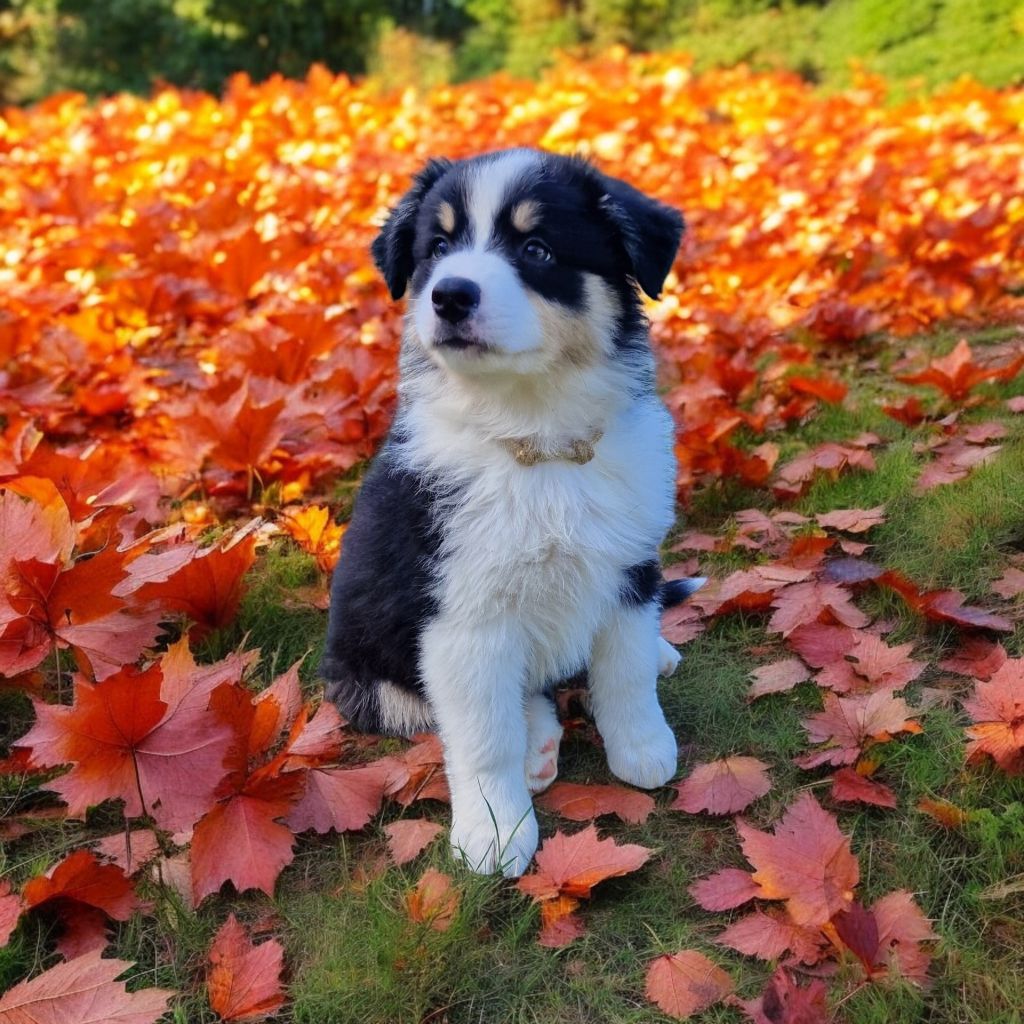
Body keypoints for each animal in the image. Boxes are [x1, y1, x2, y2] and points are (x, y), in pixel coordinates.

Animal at [323, 148, 700, 876]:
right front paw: (496, 834)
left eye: (537, 249)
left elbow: (626, 670)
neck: (537, 437)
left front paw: (644, 747)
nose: (449, 294)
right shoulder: (462, 619)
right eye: (439, 248)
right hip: (370, 669)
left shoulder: (629, 564)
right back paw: (537, 749)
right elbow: (482, 737)